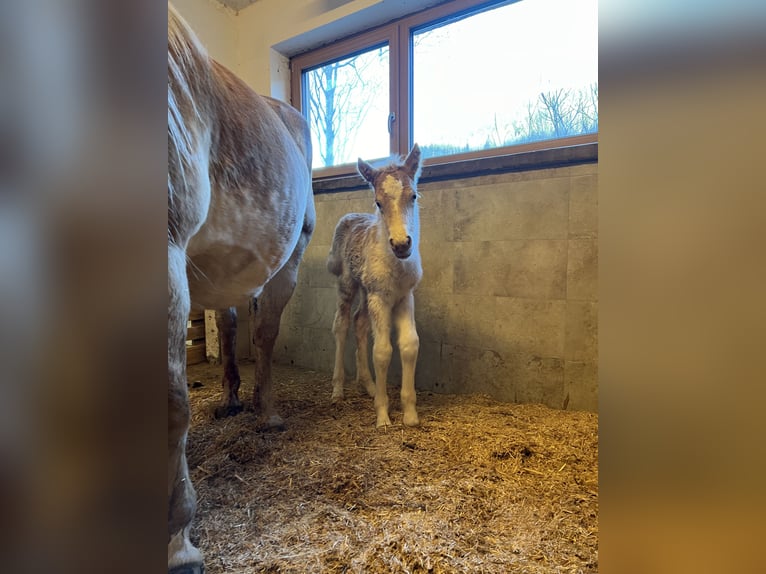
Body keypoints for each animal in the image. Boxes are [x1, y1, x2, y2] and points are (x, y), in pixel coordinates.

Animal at [168, 4, 314, 572]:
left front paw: (178, 549)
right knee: (231, 326)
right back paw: (232, 399)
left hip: (288, 260)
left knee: (264, 333)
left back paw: (265, 411)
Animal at [327, 144, 423, 428]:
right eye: (379, 203)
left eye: (413, 196)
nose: (402, 244)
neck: (397, 266)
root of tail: (349, 217)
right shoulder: (380, 297)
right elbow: (382, 351)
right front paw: (382, 415)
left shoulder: (404, 296)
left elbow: (409, 345)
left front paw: (410, 414)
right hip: (348, 284)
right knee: (342, 325)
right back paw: (338, 390)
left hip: (366, 290)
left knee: (359, 322)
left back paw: (367, 386)